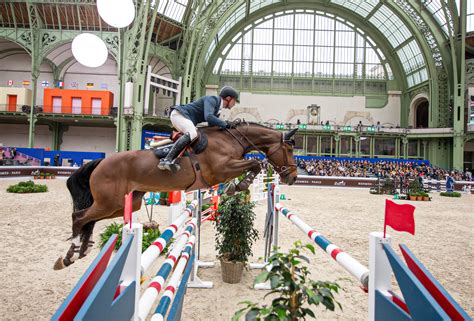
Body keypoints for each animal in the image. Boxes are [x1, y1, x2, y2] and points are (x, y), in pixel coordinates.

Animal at [53, 124, 298, 268]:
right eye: (289, 150)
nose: (293, 176)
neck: (230, 140)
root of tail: (101, 162)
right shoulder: (221, 169)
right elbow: (255, 163)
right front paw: (239, 185)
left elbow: (254, 164)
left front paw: (236, 186)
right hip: (109, 202)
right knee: (79, 217)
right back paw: (70, 255)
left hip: (125, 204)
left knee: (89, 220)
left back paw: (83, 250)